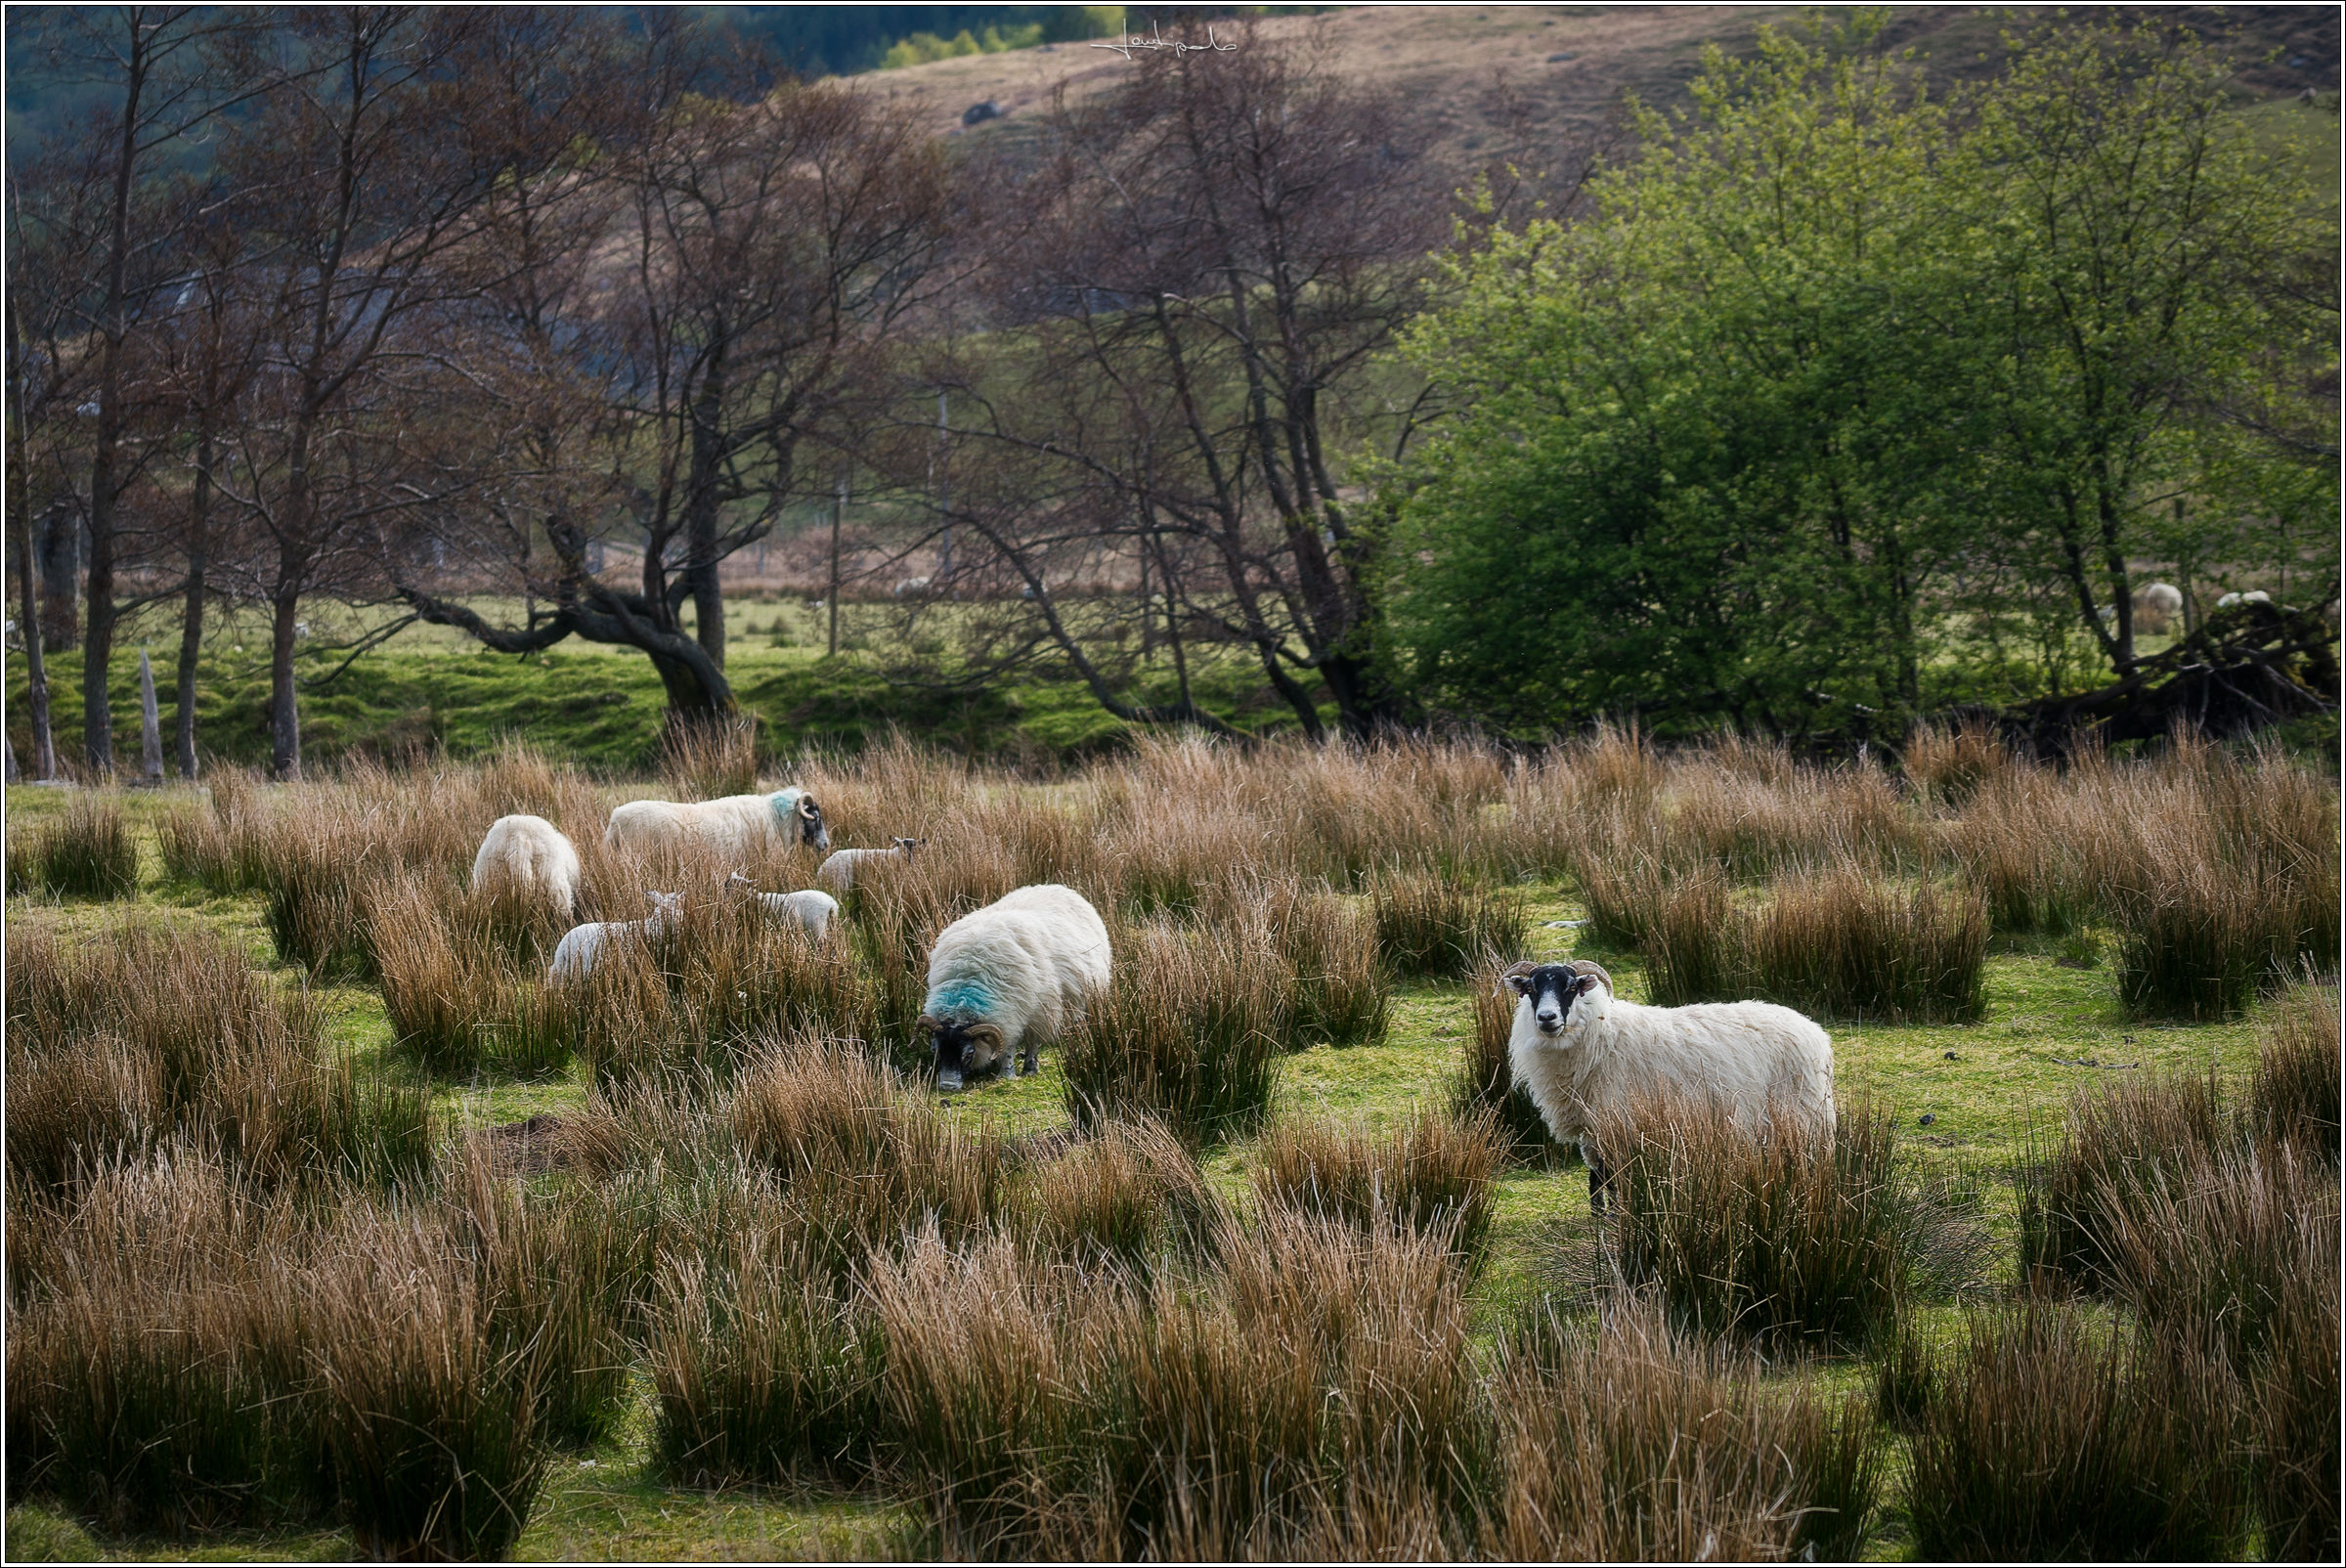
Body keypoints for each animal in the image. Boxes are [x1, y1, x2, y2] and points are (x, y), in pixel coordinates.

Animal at [919, 883, 1111, 1092]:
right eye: (937, 1051)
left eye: (969, 1053)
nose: (948, 1086)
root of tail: (1056, 886)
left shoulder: (1034, 1011)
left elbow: (1022, 1044)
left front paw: (1017, 1072)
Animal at [1501, 958, 1835, 1211]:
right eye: (1530, 989)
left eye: (1571, 987)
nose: (1547, 1018)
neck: (1601, 1033)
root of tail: (1813, 1030)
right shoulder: (1592, 1127)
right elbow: (1597, 1178)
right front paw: (1601, 1217)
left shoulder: (1618, 1122)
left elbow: (1613, 1179)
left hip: (1803, 1114)